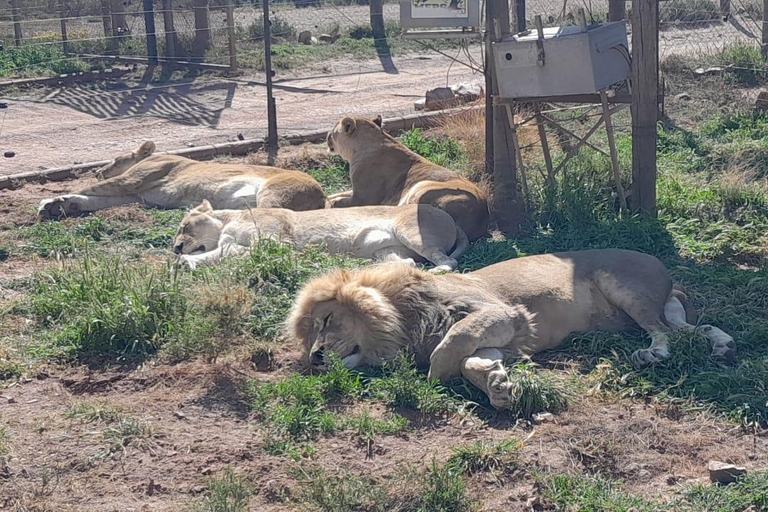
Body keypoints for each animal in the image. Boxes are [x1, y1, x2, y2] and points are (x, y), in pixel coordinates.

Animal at [37, 141, 326, 219]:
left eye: (117, 159)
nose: (99, 170)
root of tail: (322, 195)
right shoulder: (135, 195)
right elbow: (92, 199)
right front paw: (59, 206)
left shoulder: (132, 181)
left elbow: (91, 188)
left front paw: (47, 202)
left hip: (272, 192)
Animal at [290, 250, 736, 410]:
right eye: (308, 338)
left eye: (326, 321)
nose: (315, 357)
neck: (404, 319)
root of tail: (662, 268)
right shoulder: (503, 336)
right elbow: (470, 360)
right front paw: (497, 385)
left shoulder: (502, 311)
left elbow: (447, 349)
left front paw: (432, 379)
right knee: (693, 328)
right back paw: (722, 345)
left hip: (625, 289)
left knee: (669, 334)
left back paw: (653, 353)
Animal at [328, 116, 488, 244]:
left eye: (334, 129)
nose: (328, 135)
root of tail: (480, 216)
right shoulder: (355, 192)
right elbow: (337, 194)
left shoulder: (362, 198)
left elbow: (338, 202)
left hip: (421, 187)